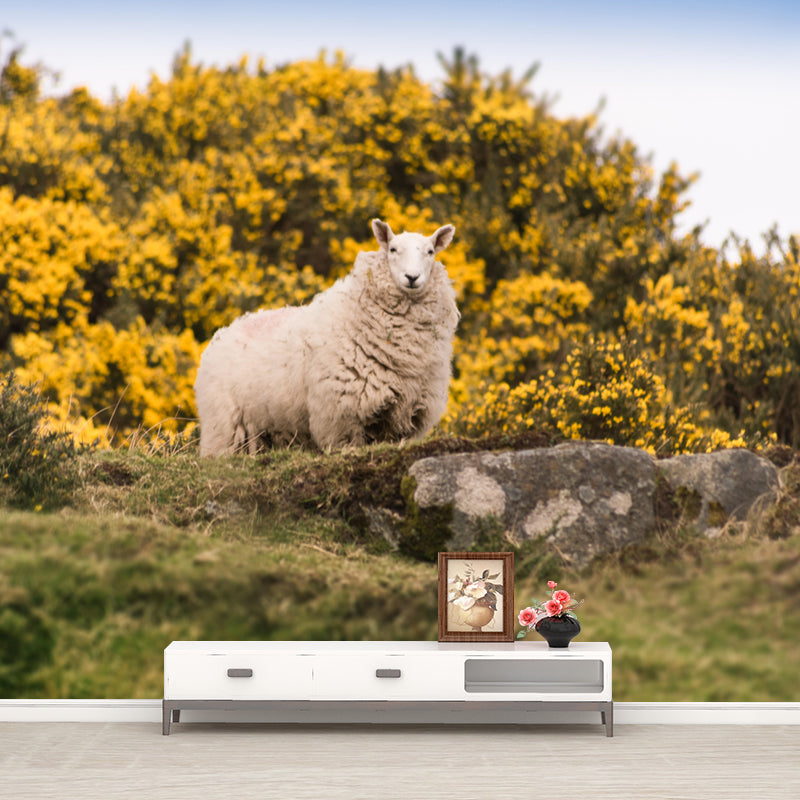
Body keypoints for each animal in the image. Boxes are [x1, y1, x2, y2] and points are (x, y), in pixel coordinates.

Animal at [194, 219, 460, 455]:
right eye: (393, 249)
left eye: (430, 251)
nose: (412, 277)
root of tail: (224, 331)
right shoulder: (340, 413)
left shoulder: (409, 413)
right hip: (224, 426)